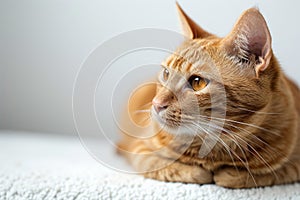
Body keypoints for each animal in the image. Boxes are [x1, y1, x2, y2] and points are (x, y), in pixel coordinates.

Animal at [117, 2, 300, 188]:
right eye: (166, 73)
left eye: (197, 82)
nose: (156, 103)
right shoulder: (138, 149)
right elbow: (164, 165)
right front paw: (199, 172)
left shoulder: (293, 165)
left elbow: (260, 175)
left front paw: (229, 174)